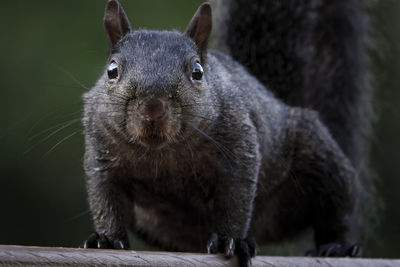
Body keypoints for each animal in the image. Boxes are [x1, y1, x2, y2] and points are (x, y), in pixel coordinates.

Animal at [82, 1, 372, 266]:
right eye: (112, 70)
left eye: (197, 72)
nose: (152, 109)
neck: (161, 151)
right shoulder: (101, 154)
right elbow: (105, 199)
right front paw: (107, 239)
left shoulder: (240, 142)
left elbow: (236, 197)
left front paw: (229, 239)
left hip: (321, 160)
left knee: (336, 215)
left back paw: (337, 247)